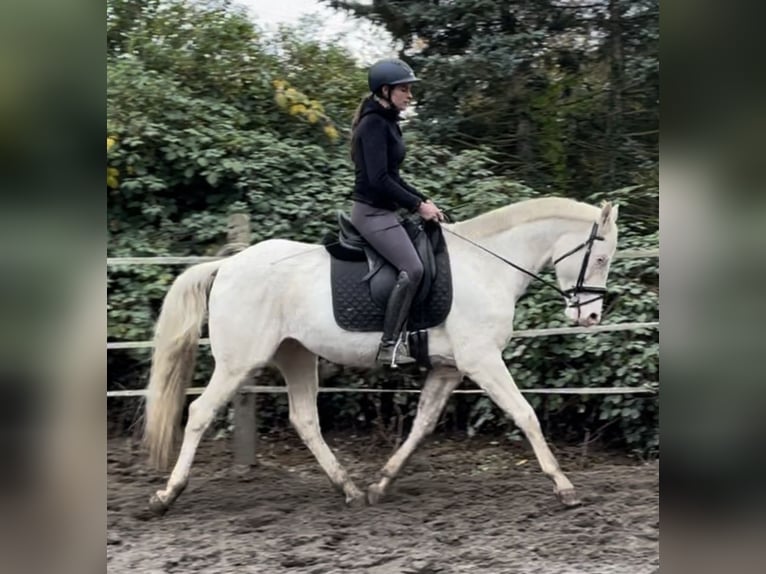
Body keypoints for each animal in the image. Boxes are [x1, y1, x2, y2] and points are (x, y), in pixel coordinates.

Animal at [144, 196, 620, 516]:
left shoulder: (449, 369)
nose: (591, 316)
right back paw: (166, 495)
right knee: (200, 413)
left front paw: (381, 483)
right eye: (599, 257)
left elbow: (422, 424)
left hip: (296, 355)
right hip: (238, 362)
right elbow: (526, 415)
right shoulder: (482, 360)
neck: (487, 267)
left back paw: (350, 490)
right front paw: (563, 486)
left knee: (305, 419)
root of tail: (227, 265)